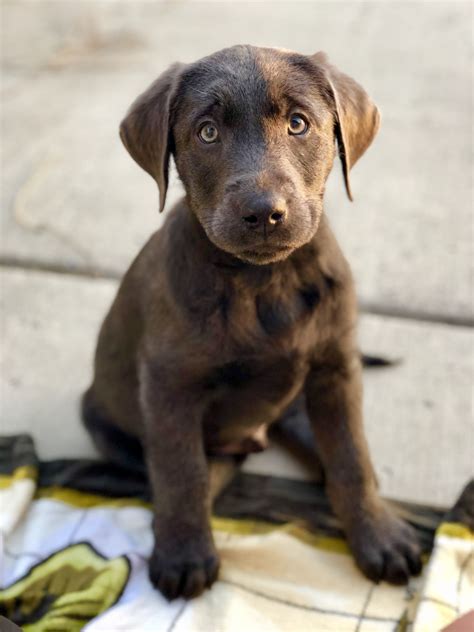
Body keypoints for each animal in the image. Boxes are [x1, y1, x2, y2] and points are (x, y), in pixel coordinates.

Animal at [82, 45, 422, 604]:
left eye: (298, 123)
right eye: (207, 132)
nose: (264, 214)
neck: (265, 282)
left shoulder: (336, 370)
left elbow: (352, 457)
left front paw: (378, 535)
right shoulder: (169, 386)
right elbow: (181, 473)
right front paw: (184, 555)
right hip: (104, 419)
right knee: (198, 473)